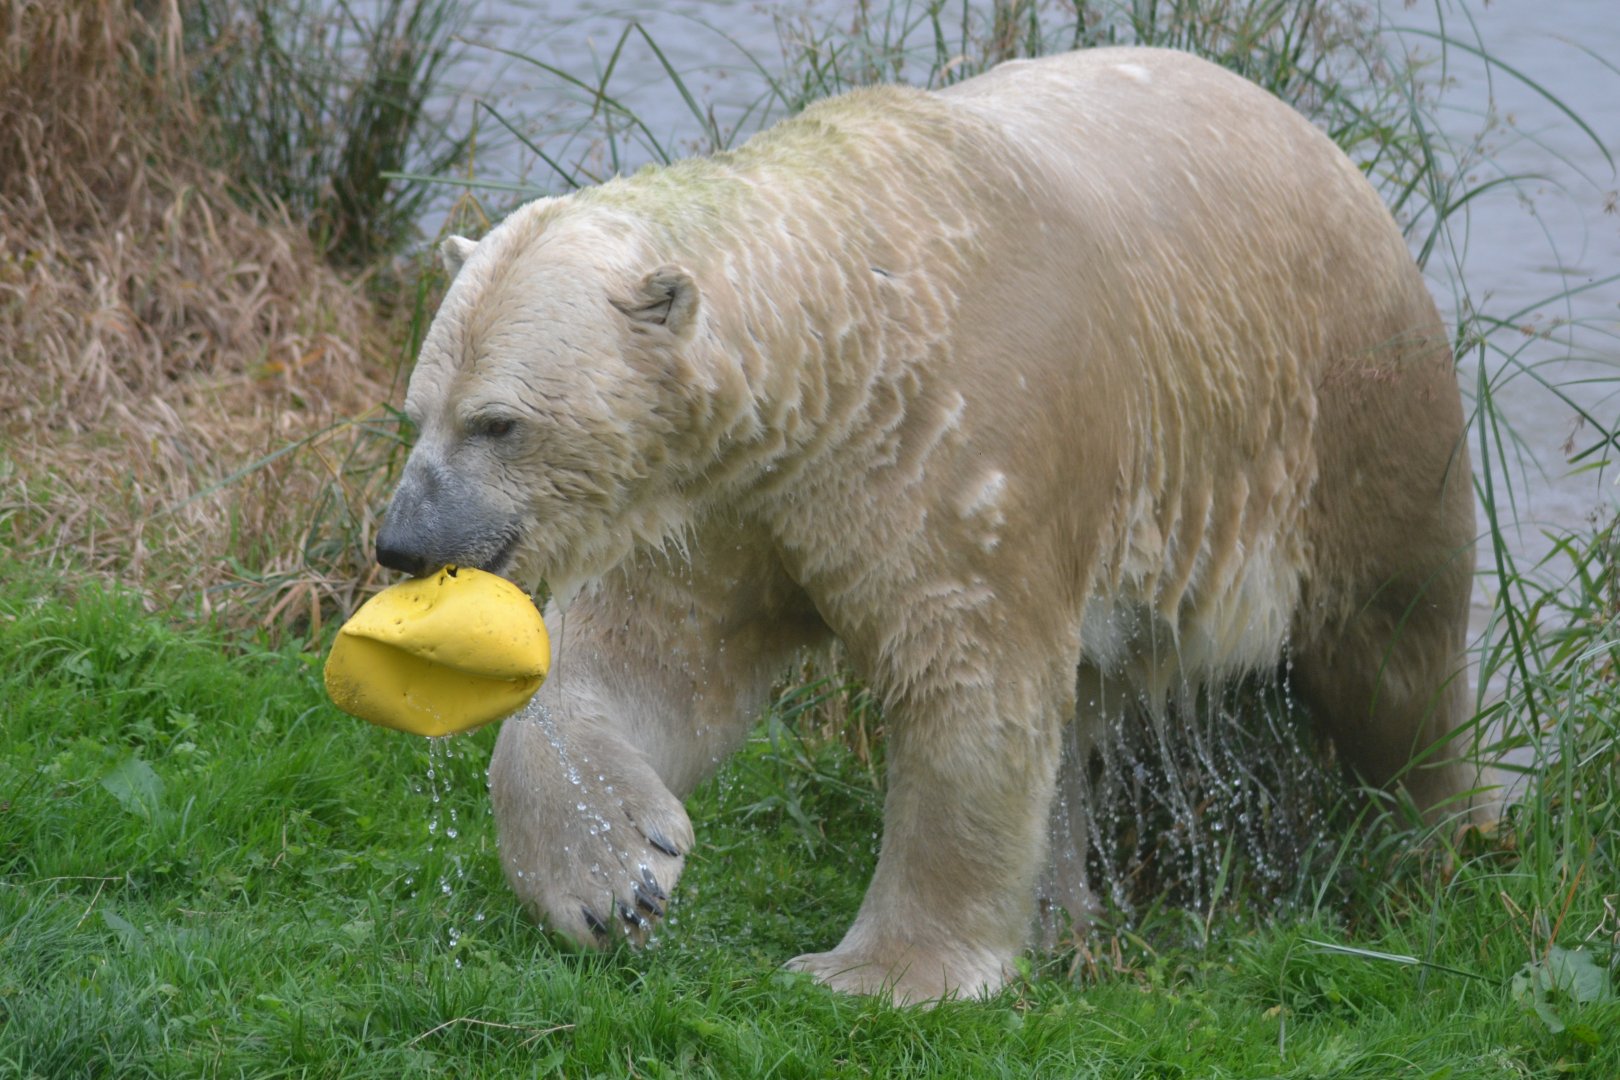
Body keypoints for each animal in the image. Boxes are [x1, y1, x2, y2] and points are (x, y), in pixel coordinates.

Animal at [374, 45, 1479, 1005]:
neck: (845, 320)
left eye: (499, 423)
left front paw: (882, 973)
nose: (403, 543)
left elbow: (971, 695)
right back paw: (1065, 916)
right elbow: (650, 658)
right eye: (416, 412)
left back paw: (1440, 841)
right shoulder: (727, 493)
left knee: (1394, 649)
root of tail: (1328, 148)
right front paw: (613, 879)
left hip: (1354, 410)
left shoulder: (965, 451)